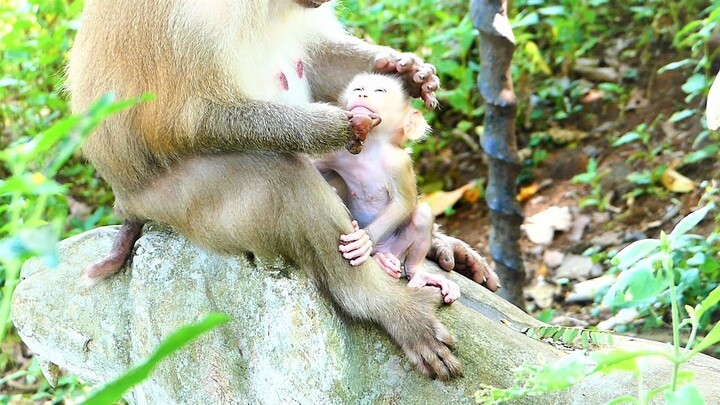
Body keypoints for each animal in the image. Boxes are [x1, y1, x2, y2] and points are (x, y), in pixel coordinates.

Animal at [316, 72, 462, 302]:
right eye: (358, 88)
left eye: (379, 91)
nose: (362, 94)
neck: (369, 148)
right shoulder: (336, 152)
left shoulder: (399, 164)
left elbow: (405, 202)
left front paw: (364, 239)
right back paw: (383, 264)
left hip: (397, 248)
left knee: (422, 215)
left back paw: (414, 272)